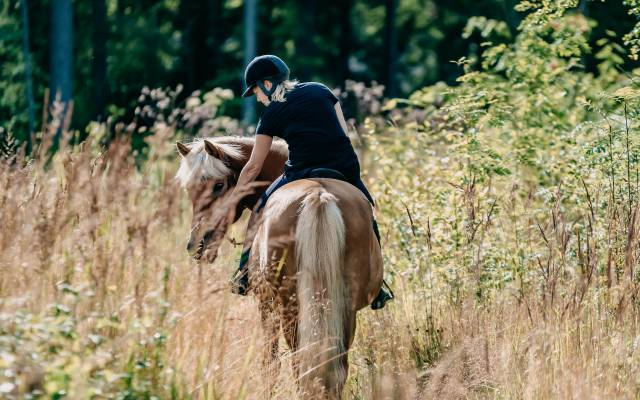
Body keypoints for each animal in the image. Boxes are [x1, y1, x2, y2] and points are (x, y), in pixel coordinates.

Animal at [175, 136, 383, 398]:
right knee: (335, 367)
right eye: (189, 189)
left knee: (299, 363)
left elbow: (270, 363)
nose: (197, 245)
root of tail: (319, 196)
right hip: (343, 307)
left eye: (219, 185)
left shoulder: (265, 304)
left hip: (289, 307)